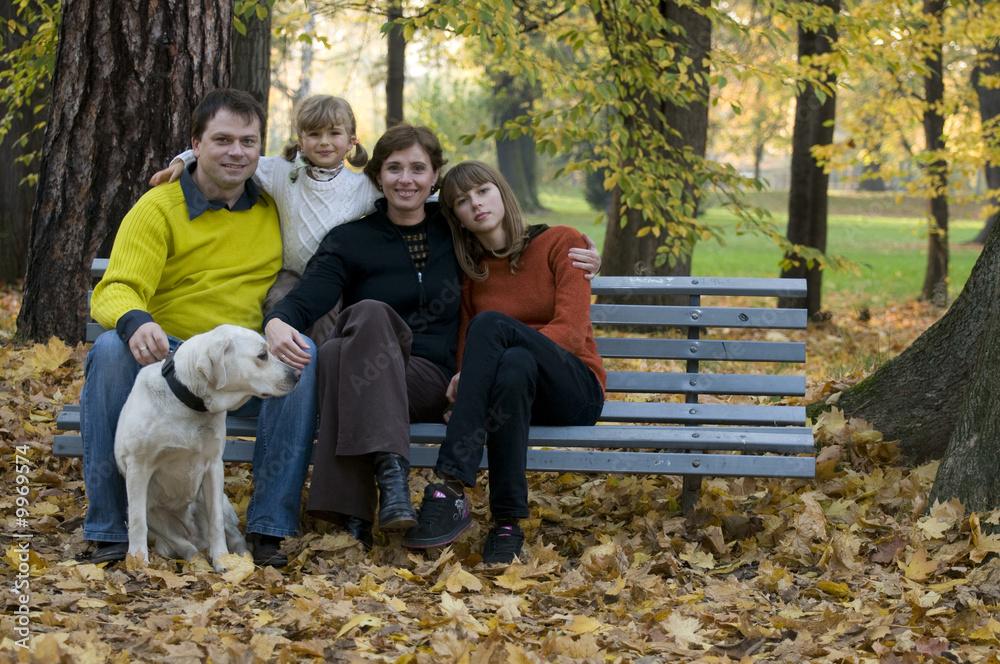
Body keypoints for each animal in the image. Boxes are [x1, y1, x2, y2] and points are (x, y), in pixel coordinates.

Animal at [114, 324, 298, 568]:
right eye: (262, 355)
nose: (297, 374)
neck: (189, 402)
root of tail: (196, 536)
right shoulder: (138, 467)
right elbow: (137, 523)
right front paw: (137, 561)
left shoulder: (213, 467)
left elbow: (215, 523)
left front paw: (222, 560)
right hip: (154, 515)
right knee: (183, 544)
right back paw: (195, 559)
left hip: (222, 503)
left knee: (235, 537)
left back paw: (242, 561)